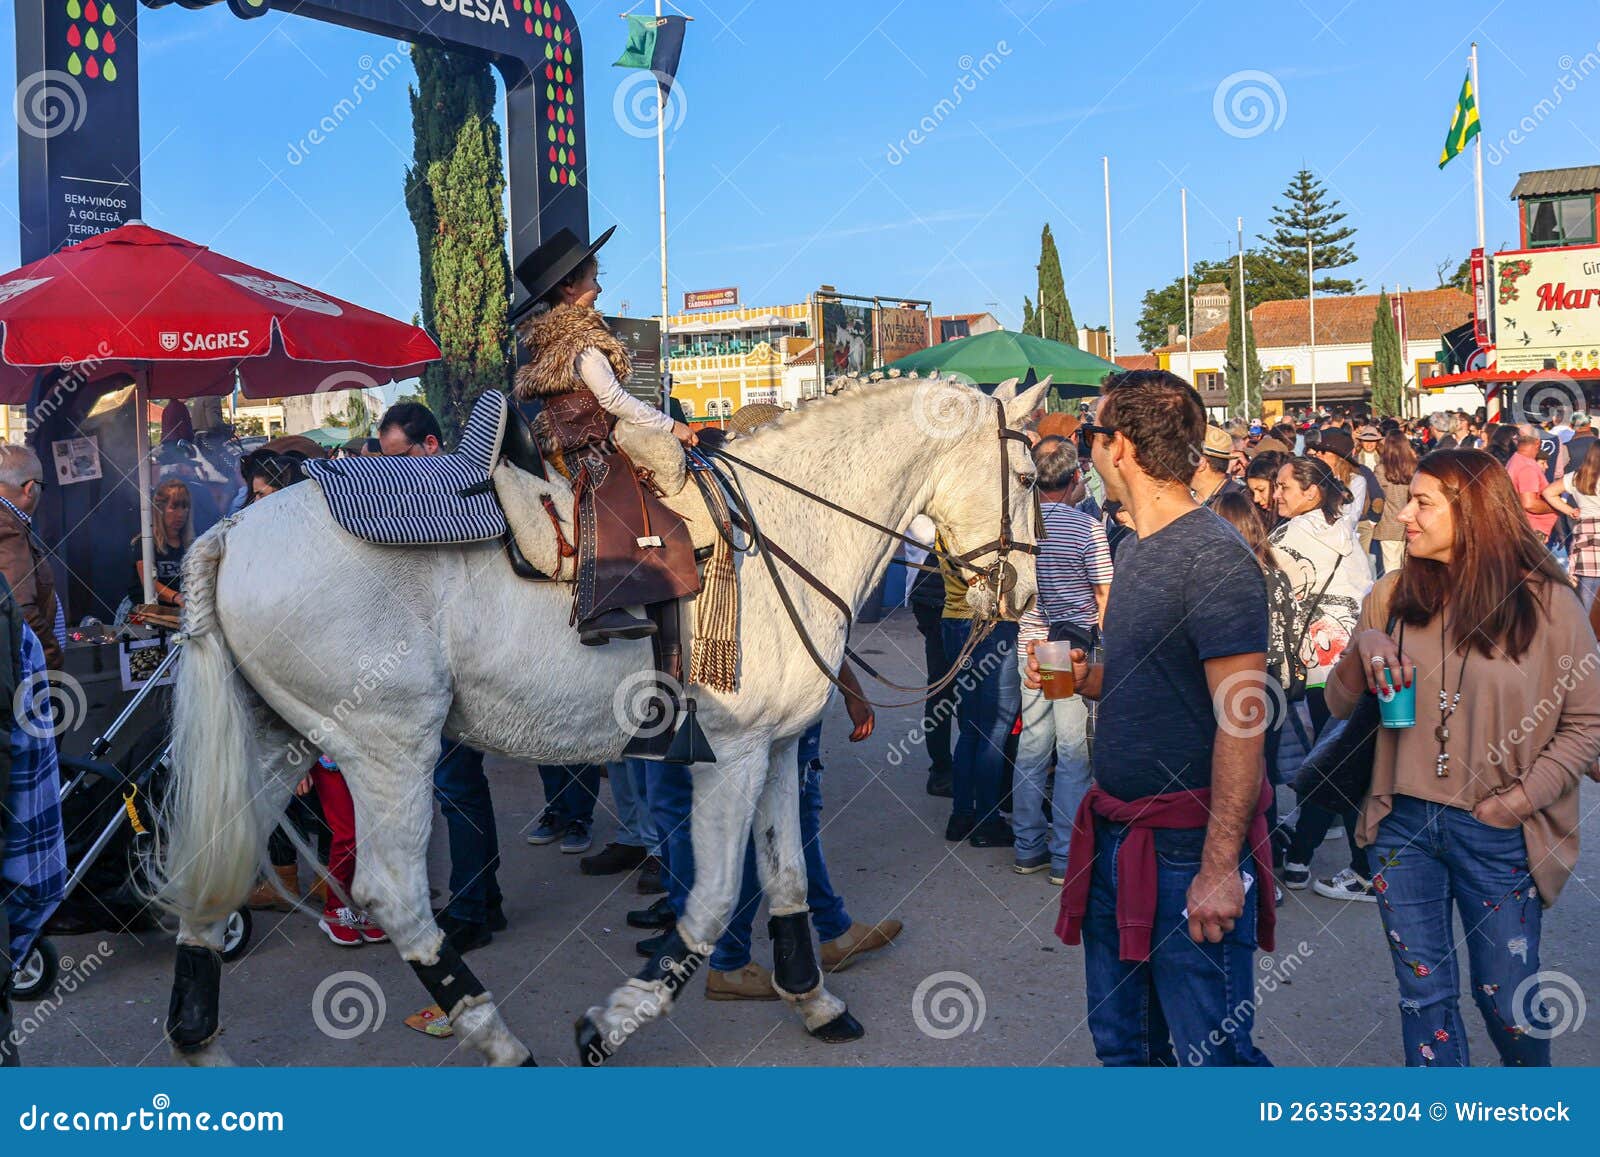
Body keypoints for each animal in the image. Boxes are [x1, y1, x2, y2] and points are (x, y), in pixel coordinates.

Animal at [156, 376, 1043, 1062]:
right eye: (1034, 475)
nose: (1025, 597)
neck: (777, 532)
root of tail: (232, 529)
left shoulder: (780, 744)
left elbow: (788, 875)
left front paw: (815, 1000)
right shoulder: (733, 753)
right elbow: (713, 899)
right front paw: (613, 1022)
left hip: (278, 743)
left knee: (207, 871)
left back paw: (198, 1039)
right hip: (388, 748)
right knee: (395, 895)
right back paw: (500, 1041)